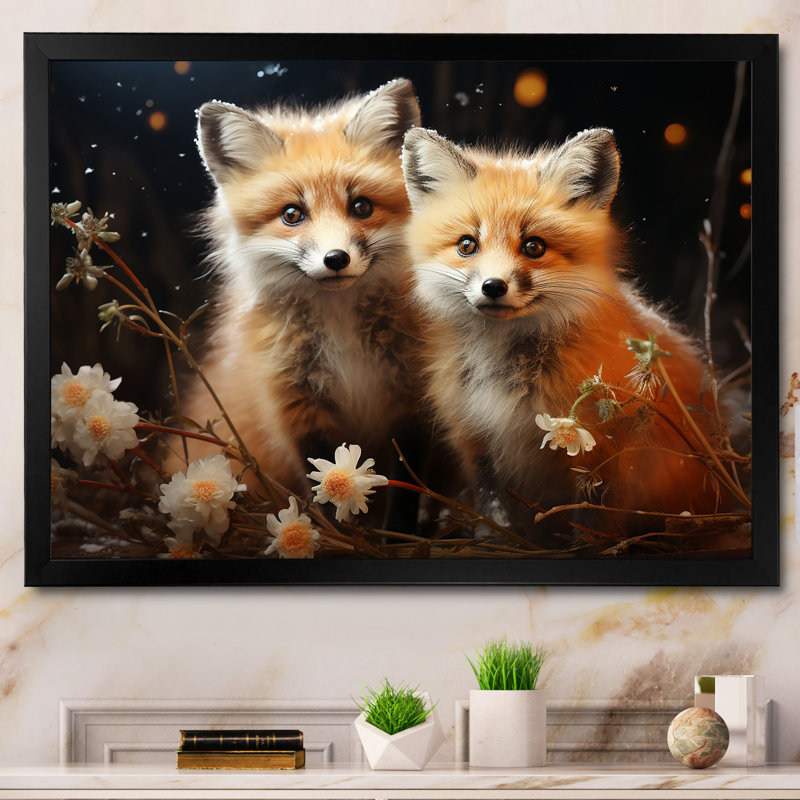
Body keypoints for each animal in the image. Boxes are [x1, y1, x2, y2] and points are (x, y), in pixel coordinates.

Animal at [401, 126, 729, 541]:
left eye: (534, 246)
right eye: (466, 245)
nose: (493, 286)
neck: (506, 375)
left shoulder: (608, 451)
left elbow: (594, 519)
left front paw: (587, 546)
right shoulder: (476, 442)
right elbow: (494, 513)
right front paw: (496, 540)